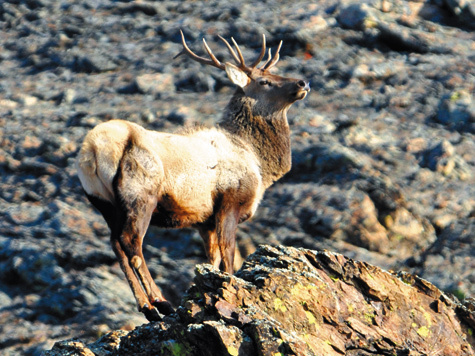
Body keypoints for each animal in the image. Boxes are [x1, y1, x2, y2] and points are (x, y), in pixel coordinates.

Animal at [76, 29, 310, 320]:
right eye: (265, 81)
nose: (303, 82)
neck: (257, 161)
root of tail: (94, 150)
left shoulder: (203, 220)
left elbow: (212, 259)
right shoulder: (229, 202)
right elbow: (228, 256)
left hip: (105, 204)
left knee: (116, 245)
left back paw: (147, 307)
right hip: (140, 195)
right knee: (132, 245)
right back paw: (160, 301)